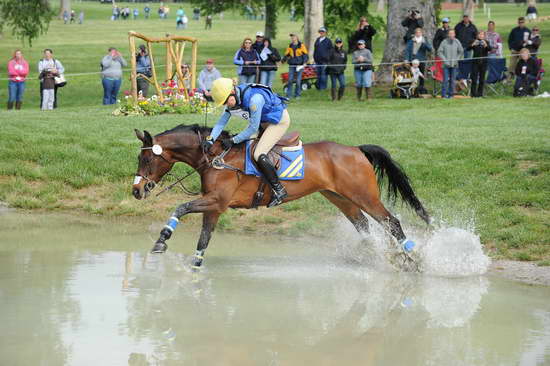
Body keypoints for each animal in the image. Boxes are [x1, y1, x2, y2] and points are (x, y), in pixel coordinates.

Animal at [134, 124, 432, 268]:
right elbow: (203, 242)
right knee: (365, 227)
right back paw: (380, 257)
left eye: (146, 158)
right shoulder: (215, 208)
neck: (215, 158)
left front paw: (161, 240)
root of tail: (356, 150)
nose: (136, 191)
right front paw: (194, 270)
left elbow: (180, 208)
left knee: (391, 222)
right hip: (340, 198)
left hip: (363, 195)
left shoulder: (216, 201)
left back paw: (412, 260)